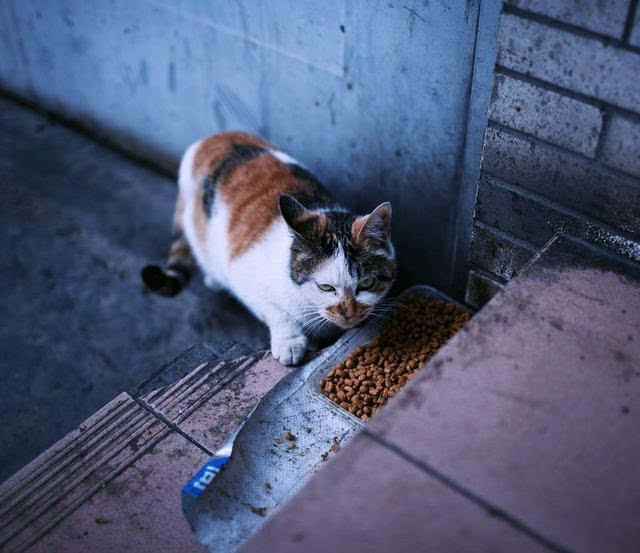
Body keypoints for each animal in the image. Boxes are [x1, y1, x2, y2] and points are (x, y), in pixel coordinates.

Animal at [142, 132, 398, 364]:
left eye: (367, 283)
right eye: (325, 287)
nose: (349, 313)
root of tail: (207, 140)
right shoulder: (243, 275)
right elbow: (275, 311)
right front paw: (289, 342)